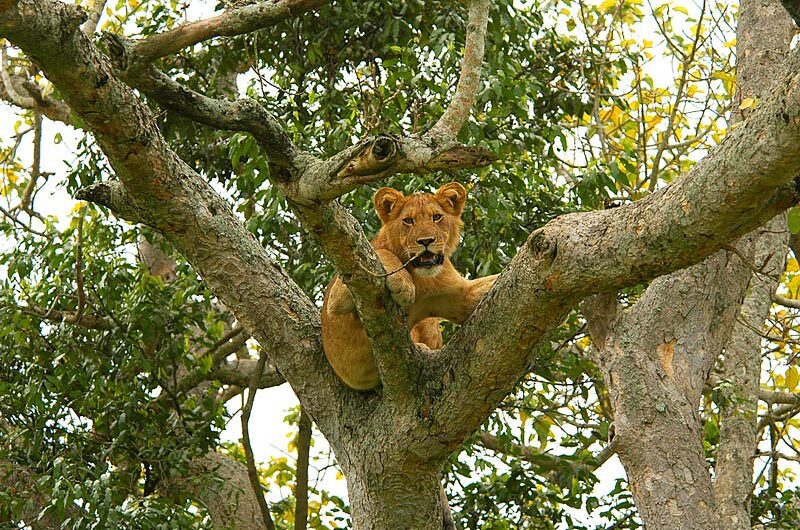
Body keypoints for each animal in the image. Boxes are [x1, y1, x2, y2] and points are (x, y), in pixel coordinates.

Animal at [320, 182, 496, 388]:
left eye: (437, 217)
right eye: (409, 221)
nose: (426, 241)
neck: (421, 278)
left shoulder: (461, 295)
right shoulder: (339, 295)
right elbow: (383, 252)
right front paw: (404, 285)